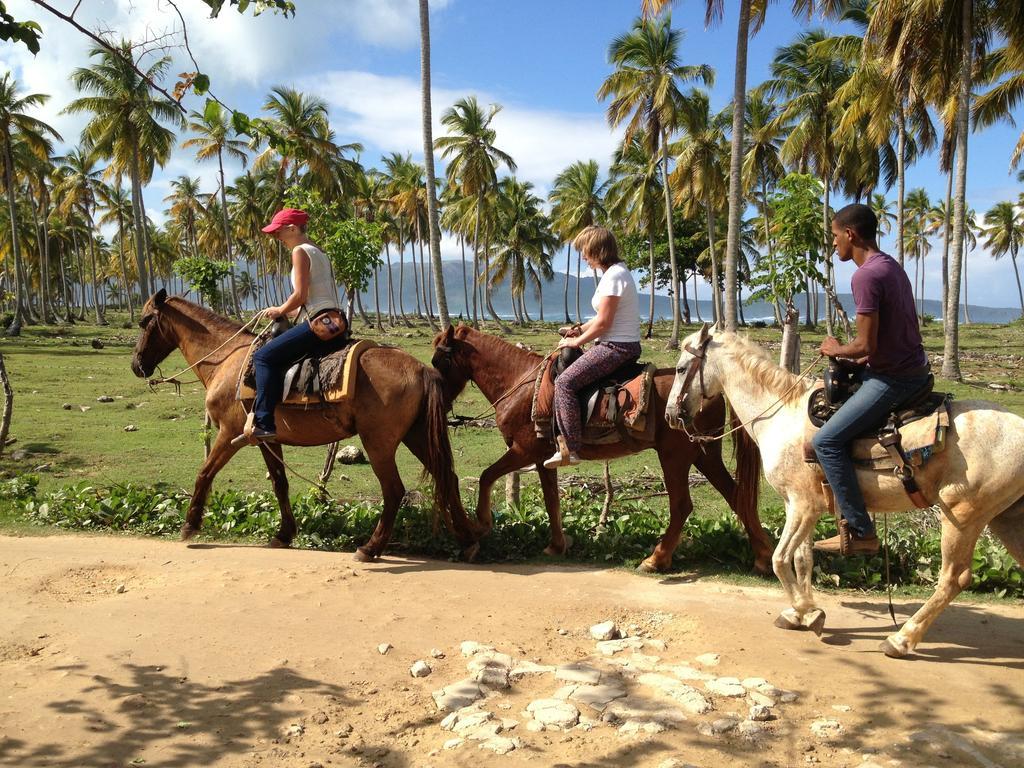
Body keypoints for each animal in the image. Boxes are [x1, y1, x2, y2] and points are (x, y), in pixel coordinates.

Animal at [129, 290, 479, 557]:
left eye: (145, 321)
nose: (136, 365)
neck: (227, 359)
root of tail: (420, 369)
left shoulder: (230, 433)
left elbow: (204, 473)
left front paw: (190, 525)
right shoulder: (266, 437)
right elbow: (279, 483)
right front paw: (284, 533)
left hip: (379, 442)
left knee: (394, 491)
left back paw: (370, 548)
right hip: (416, 435)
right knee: (447, 478)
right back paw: (469, 541)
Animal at [428, 321, 770, 573]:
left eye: (440, 360)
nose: (435, 400)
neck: (521, 384)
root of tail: (713, 391)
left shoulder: (523, 451)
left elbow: (487, 476)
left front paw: (481, 525)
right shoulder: (542, 457)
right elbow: (552, 500)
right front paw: (556, 545)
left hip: (675, 455)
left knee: (682, 505)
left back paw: (656, 559)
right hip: (704, 454)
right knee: (736, 495)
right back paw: (763, 557)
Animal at [663, 325, 1024, 663]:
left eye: (680, 369)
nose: (670, 415)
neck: (781, 417)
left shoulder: (802, 506)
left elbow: (780, 559)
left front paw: (809, 612)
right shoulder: (801, 507)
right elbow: (802, 558)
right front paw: (799, 612)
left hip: (962, 517)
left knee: (952, 578)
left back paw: (901, 639)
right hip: (1007, 519)